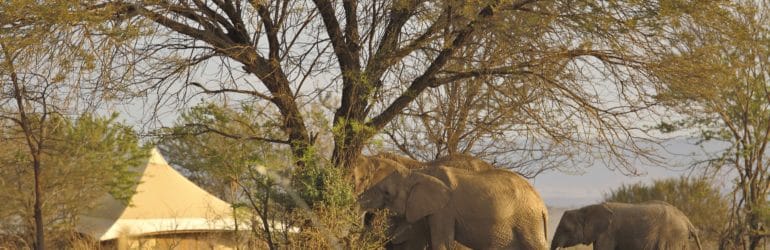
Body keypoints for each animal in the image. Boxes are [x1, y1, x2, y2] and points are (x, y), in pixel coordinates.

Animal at [356, 164, 544, 250]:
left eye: (387, 192)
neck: (420, 172)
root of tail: (542, 205)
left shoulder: (444, 210)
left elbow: (441, 243)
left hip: (528, 221)